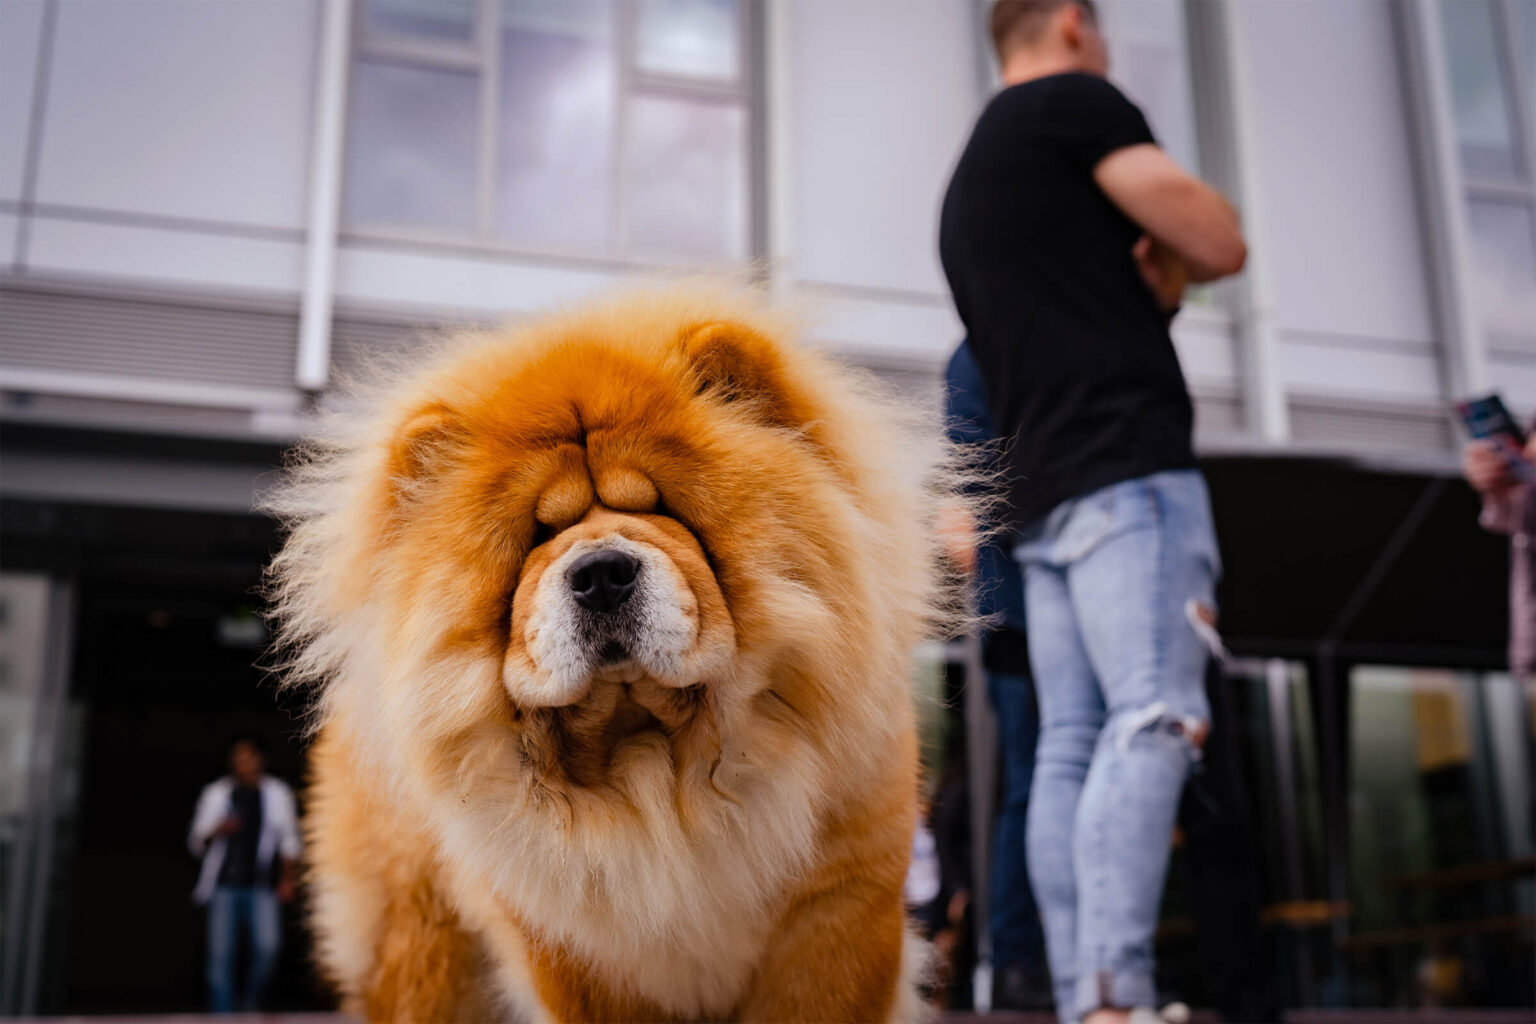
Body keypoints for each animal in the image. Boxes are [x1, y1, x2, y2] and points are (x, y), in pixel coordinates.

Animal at [264, 284, 958, 1019]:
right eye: (539, 534)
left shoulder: (840, 904)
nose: (600, 574)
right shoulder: (571, 949)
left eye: (660, 509)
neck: (652, 763)